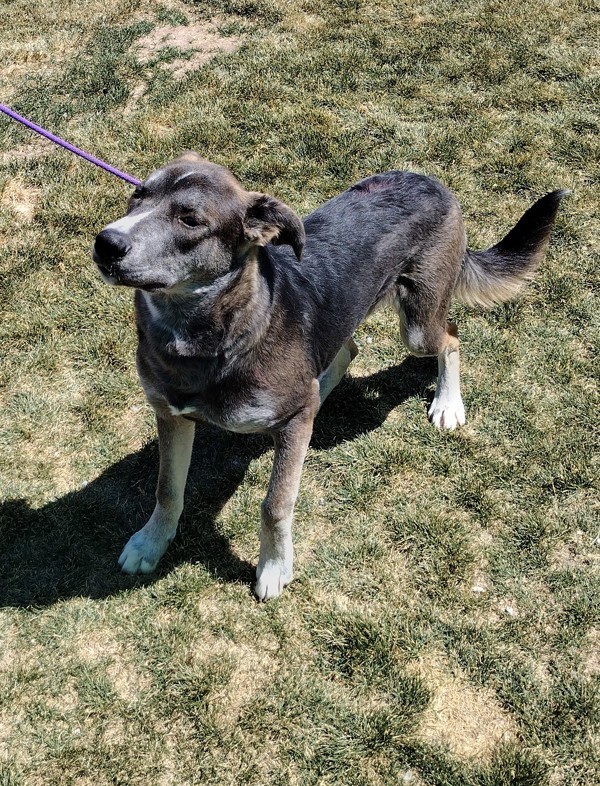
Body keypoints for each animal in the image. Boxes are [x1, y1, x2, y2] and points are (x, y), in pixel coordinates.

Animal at [91, 155, 564, 600]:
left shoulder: (289, 424)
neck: (205, 334)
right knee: (347, 351)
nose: (106, 242)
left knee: (451, 338)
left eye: (190, 220)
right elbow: (167, 490)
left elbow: (275, 505)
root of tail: (431, 182)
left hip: (417, 325)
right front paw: (151, 543)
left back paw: (448, 403)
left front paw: (274, 567)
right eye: (138, 195)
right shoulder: (171, 414)